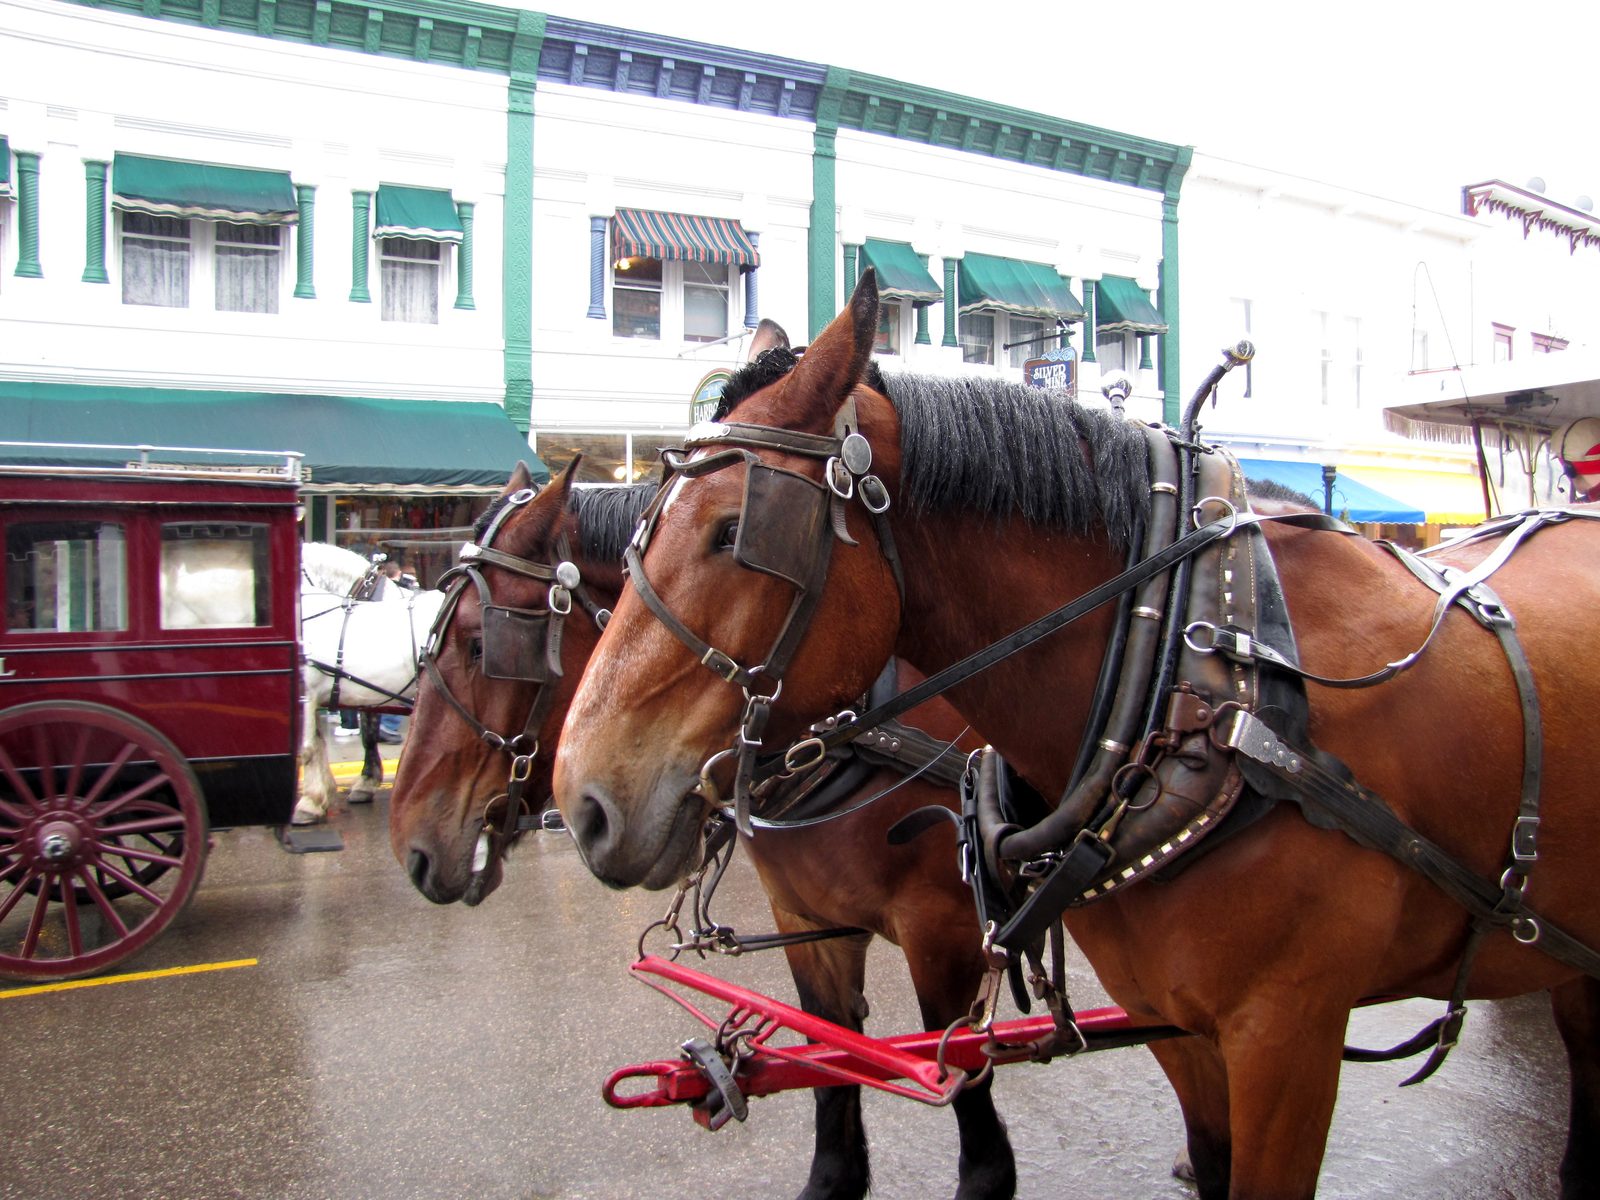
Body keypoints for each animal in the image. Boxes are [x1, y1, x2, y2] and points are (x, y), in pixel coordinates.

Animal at [386, 460, 1020, 1200]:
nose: (409, 847)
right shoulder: (807, 924)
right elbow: (832, 1089)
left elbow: (978, 1138)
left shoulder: (943, 934)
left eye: (479, 643)